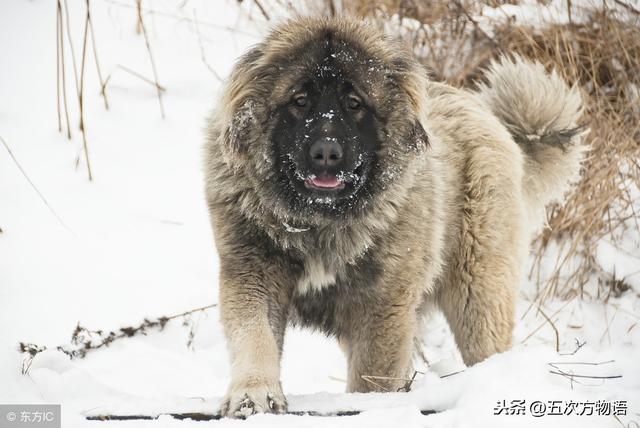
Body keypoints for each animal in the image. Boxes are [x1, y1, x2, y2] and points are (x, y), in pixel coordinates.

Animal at [204, 17, 584, 418]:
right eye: (299, 100)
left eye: (354, 103)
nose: (326, 153)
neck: (321, 223)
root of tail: (488, 116)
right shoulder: (253, 273)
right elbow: (254, 337)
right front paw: (253, 396)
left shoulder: (383, 305)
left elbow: (373, 375)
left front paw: (368, 408)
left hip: (477, 294)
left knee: (487, 345)